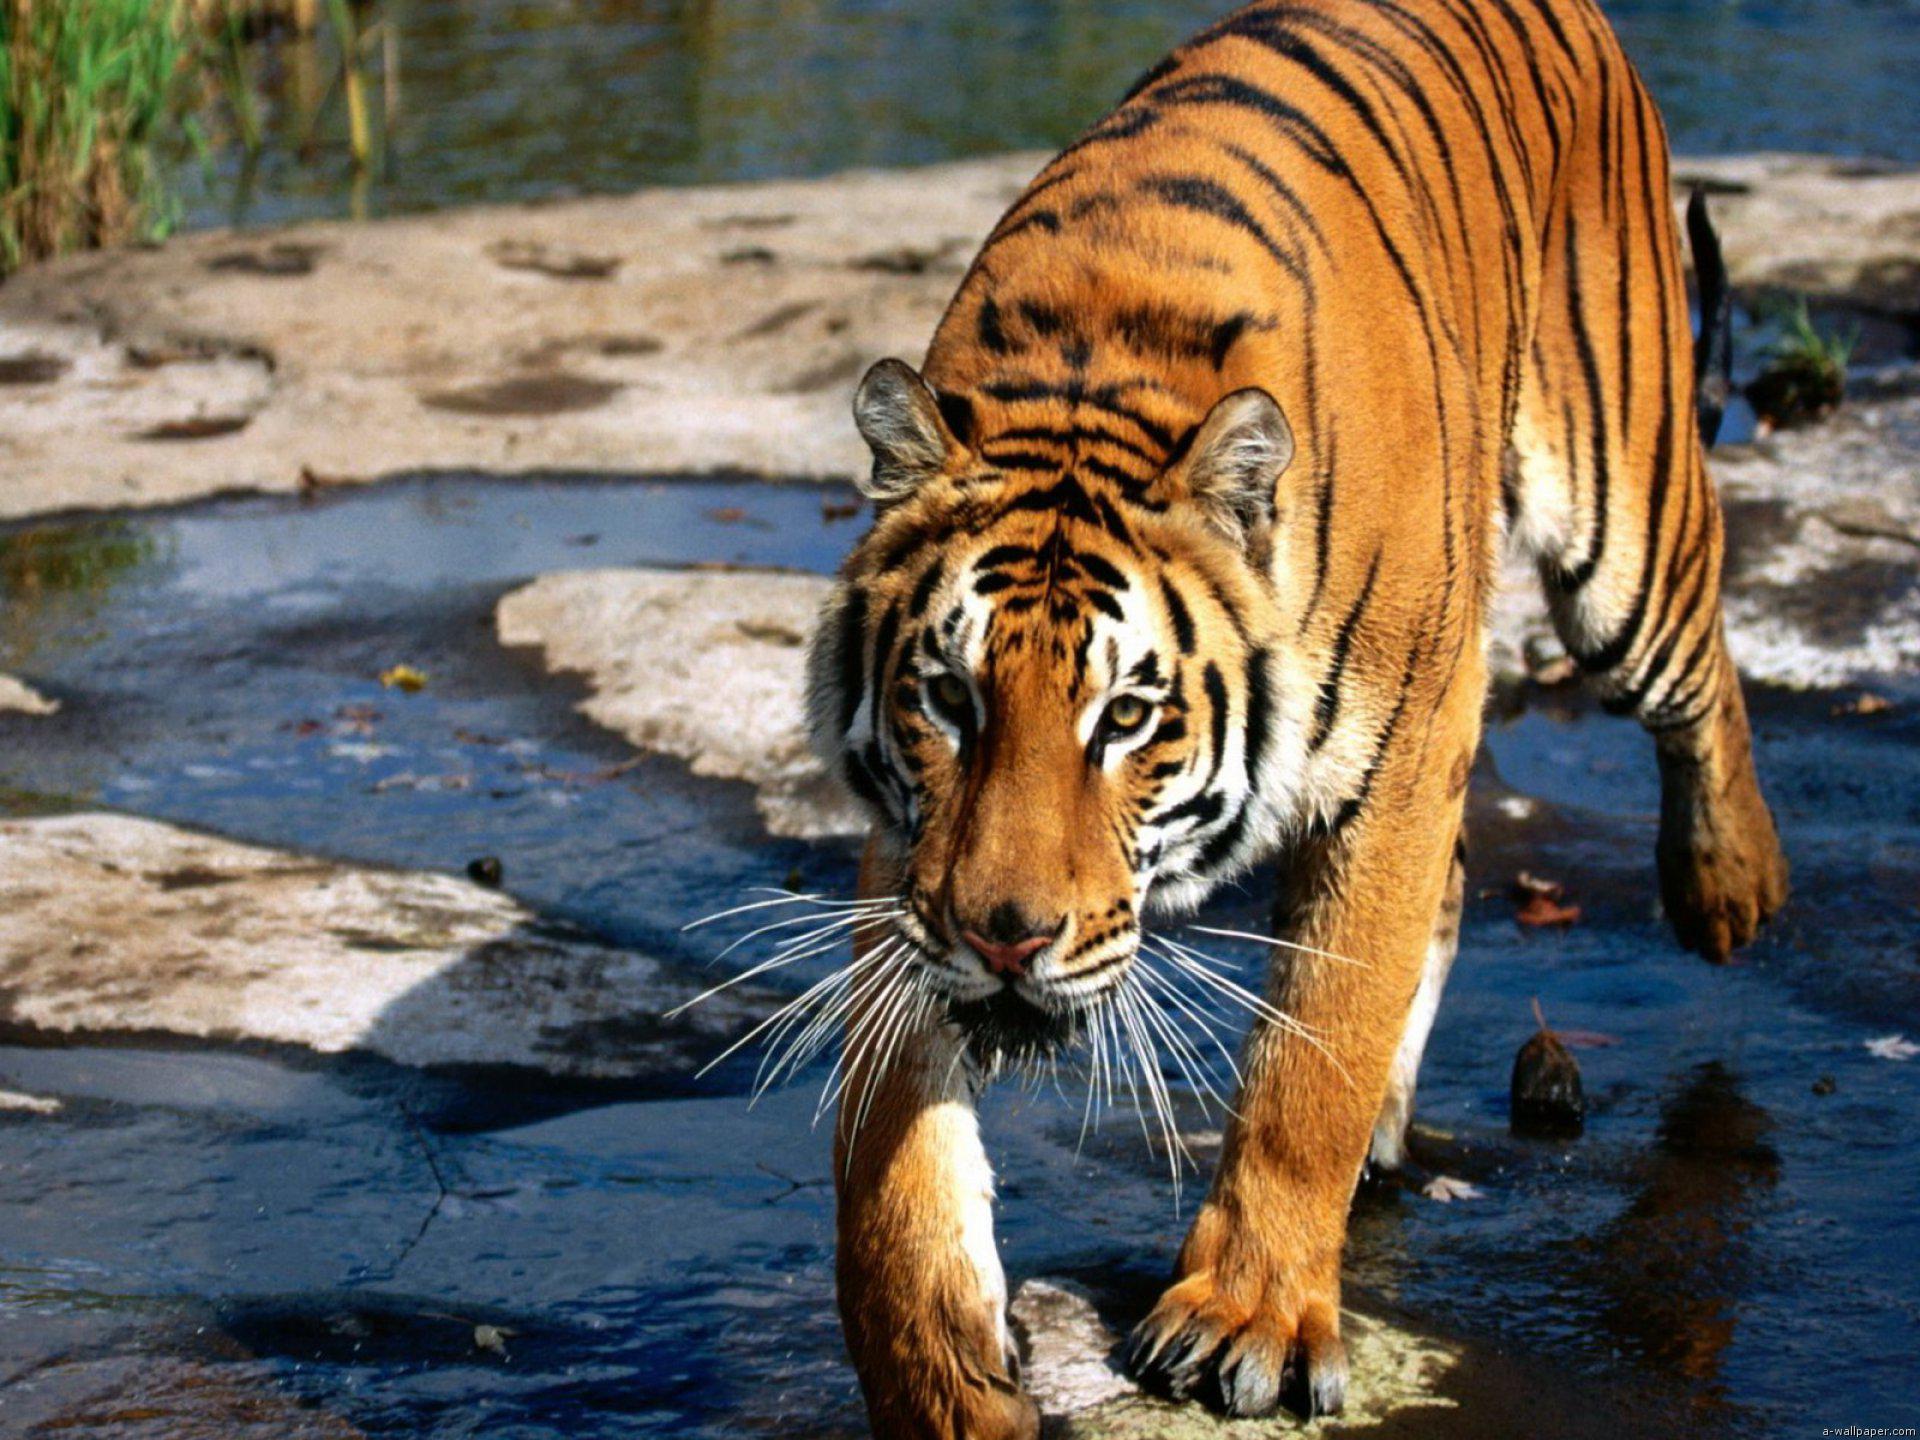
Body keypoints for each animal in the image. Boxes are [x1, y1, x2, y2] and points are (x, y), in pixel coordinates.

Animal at [802, 0, 1788, 1433]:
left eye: (1127, 716)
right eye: (947, 696)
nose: (1005, 940)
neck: (1096, 370)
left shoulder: (1400, 754)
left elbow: (1313, 1053)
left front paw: (1248, 1318)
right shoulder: (917, 852)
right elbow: (888, 1148)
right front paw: (941, 1372)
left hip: (1620, 517)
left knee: (1699, 663)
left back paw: (1730, 884)